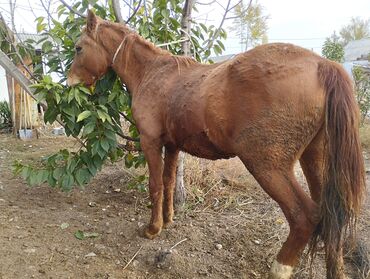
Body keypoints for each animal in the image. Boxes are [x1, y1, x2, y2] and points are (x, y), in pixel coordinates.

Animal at [66, 10, 364, 278]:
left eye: (79, 47)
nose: (69, 82)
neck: (153, 73)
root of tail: (323, 65)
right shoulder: (172, 145)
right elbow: (169, 181)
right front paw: (169, 219)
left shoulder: (150, 142)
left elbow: (155, 185)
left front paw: (153, 228)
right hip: (315, 159)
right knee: (331, 216)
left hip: (267, 166)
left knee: (305, 217)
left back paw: (280, 268)